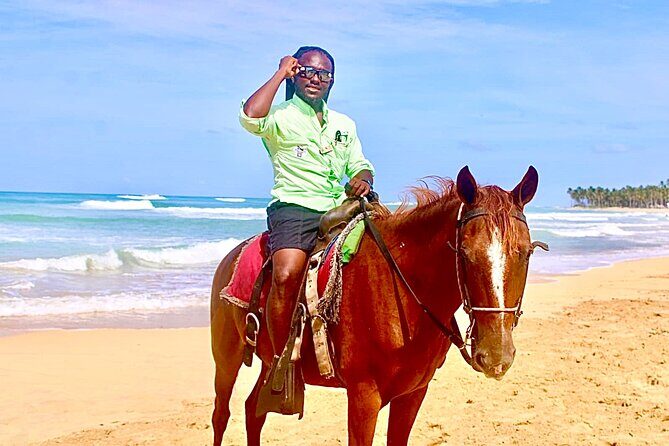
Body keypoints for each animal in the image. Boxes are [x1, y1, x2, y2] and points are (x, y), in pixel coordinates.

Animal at [210, 165, 542, 445]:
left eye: (526, 253)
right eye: (464, 252)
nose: (496, 356)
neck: (404, 290)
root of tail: (231, 257)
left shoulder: (413, 394)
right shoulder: (363, 396)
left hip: (267, 366)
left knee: (253, 411)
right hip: (227, 358)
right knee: (222, 415)